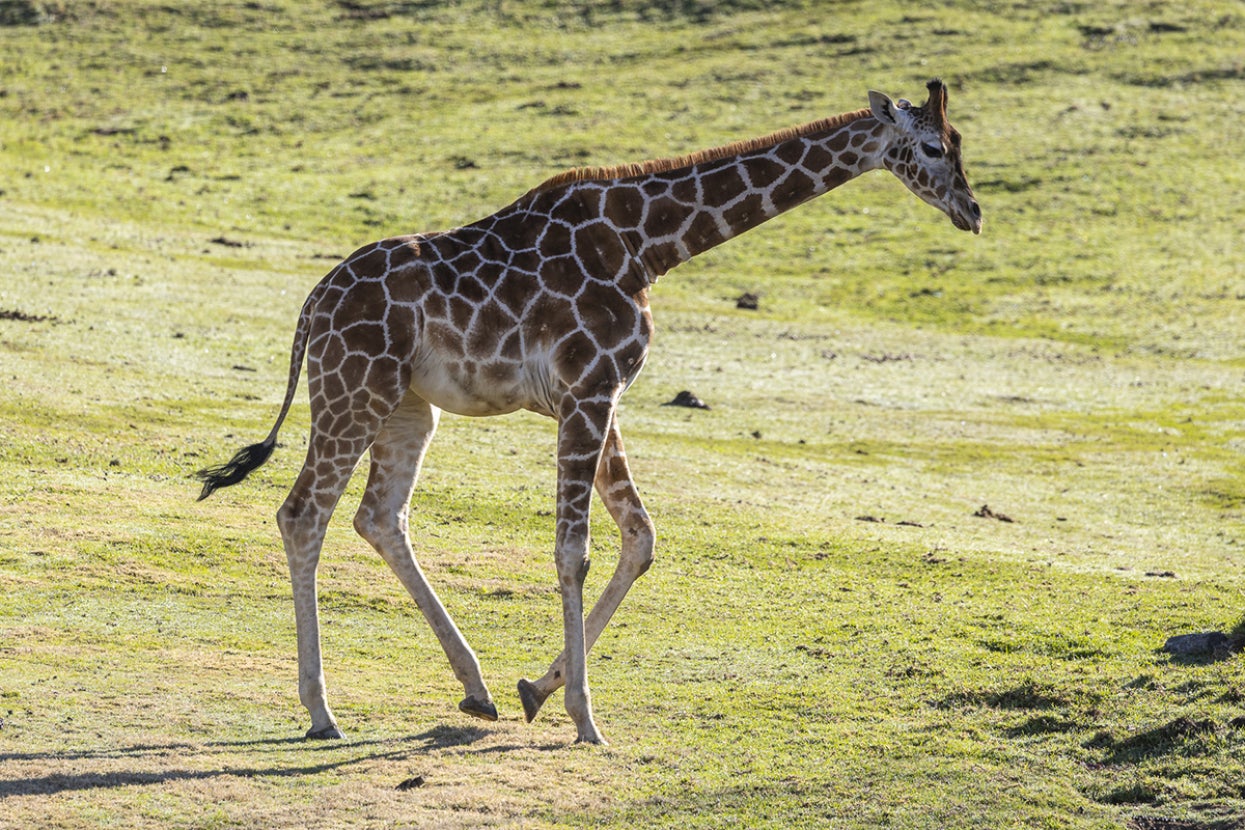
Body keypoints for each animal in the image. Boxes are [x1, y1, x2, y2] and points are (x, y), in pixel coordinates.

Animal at [197, 79, 981, 745]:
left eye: (958, 140)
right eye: (932, 149)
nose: (972, 213)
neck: (648, 244)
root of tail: (312, 305)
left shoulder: (600, 396)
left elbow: (641, 538)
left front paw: (536, 689)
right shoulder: (589, 388)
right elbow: (573, 550)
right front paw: (583, 717)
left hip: (408, 406)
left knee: (378, 516)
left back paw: (475, 688)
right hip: (352, 389)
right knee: (304, 513)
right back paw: (321, 711)